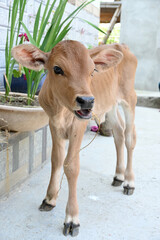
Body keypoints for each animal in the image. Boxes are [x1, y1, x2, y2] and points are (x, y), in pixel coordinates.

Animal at [12, 40, 138, 237]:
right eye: (57, 69)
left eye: (93, 70)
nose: (86, 101)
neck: (61, 110)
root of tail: (122, 46)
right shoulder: (53, 123)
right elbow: (56, 160)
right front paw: (49, 198)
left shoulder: (78, 124)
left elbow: (71, 166)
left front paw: (72, 219)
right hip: (110, 104)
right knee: (118, 132)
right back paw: (118, 176)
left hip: (129, 97)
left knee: (130, 137)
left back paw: (129, 182)